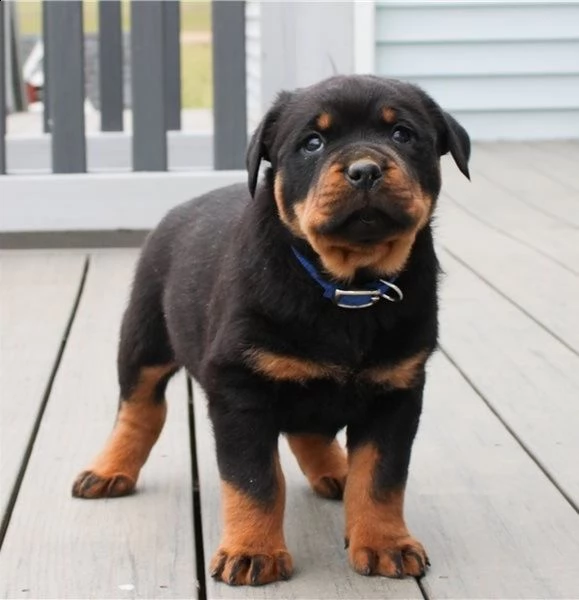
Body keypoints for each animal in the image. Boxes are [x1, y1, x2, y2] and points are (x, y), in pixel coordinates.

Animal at [73, 75, 472, 584]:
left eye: (403, 134)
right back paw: (109, 469)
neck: (346, 286)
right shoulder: (240, 388)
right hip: (145, 336)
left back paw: (335, 469)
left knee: (309, 430)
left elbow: (381, 478)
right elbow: (254, 480)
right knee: (139, 409)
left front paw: (385, 542)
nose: (364, 170)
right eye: (313, 142)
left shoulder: (397, 390)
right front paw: (252, 551)